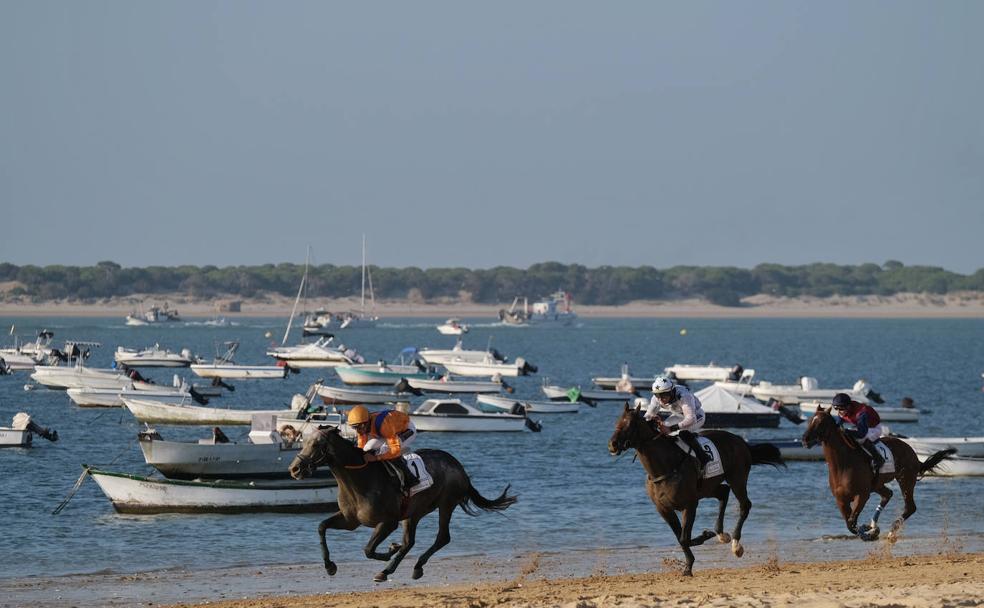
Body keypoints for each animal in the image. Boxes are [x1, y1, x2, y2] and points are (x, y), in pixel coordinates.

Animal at [288, 426, 517, 582]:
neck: (359, 480)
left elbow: (368, 550)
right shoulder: (350, 520)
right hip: (413, 513)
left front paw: (390, 549)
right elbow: (321, 527)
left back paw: (412, 567)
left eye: (316, 445)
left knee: (442, 537)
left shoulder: (388, 523)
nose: (294, 469)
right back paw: (389, 570)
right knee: (410, 542)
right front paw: (329, 566)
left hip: (446, 504)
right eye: (304, 442)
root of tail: (458, 465)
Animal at [608, 404, 784, 576]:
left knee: (744, 505)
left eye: (630, 424)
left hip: (737, 478)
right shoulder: (664, 509)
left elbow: (684, 538)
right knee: (723, 492)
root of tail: (741, 441)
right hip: (707, 487)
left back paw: (736, 545)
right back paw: (721, 534)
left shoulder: (690, 505)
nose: (612, 444)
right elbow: (681, 537)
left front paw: (689, 565)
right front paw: (704, 539)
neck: (665, 467)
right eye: (617, 422)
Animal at [801, 406, 954, 541]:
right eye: (809, 421)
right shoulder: (841, 500)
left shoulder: (862, 495)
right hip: (878, 484)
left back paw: (892, 531)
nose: (805, 439)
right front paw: (871, 530)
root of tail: (913, 454)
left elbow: (852, 523)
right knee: (888, 494)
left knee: (910, 507)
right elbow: (850, 523)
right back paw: (875, 526)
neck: (843, 465)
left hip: (905, 479)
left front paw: (868, 533)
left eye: (821, 423)